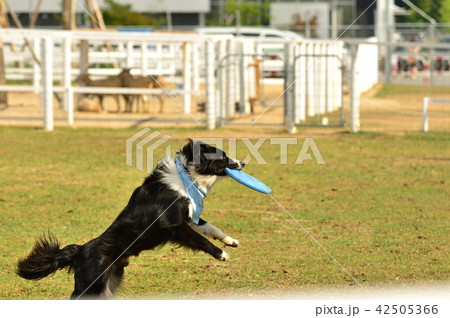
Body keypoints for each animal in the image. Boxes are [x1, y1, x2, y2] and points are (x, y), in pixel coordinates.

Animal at [16, 139, 243, 298]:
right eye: (223, 157)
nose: (242, 162)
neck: (185, 176)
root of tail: (80, 250)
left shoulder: (187, 218)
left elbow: (210, 227)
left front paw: (230, 241)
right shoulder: (172, 224)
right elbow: (201, 240)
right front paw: (222, 254)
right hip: (91, 286)